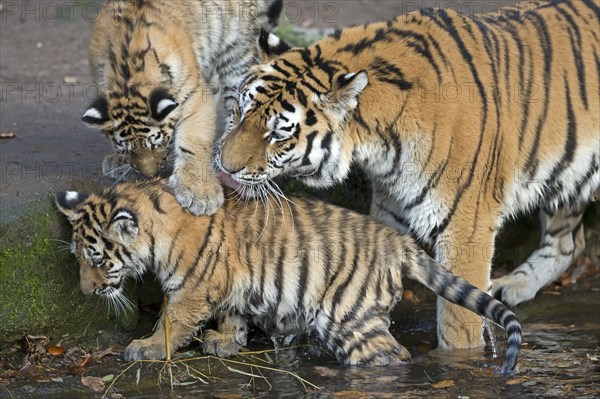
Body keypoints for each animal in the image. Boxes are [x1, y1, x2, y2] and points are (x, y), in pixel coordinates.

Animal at [52, 180, 520, 374]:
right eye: (80, 258)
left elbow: (173, 320)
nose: (86, 290)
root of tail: (399, 242)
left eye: (97, 259)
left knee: (391, 355)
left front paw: (146, 347)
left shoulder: (192, 287)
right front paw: (226, 341)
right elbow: (232, 313)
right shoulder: (228, 284)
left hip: (348, 316)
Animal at [82, 0, 284, 216]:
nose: (150, 175)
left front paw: (200, 194)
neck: (128, 75)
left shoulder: (193, 94)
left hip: (237, 52)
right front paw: (120, 163)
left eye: (157, 143)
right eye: (128, 149)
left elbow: (193, 141)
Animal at [217, 0, 600, 350]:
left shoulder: (467, 228)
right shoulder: (390, 210)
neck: (380, 145)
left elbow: (458, 325)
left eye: (277, 134)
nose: (223, 165)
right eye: (241, 111)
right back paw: (514, 286)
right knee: (569, 243)